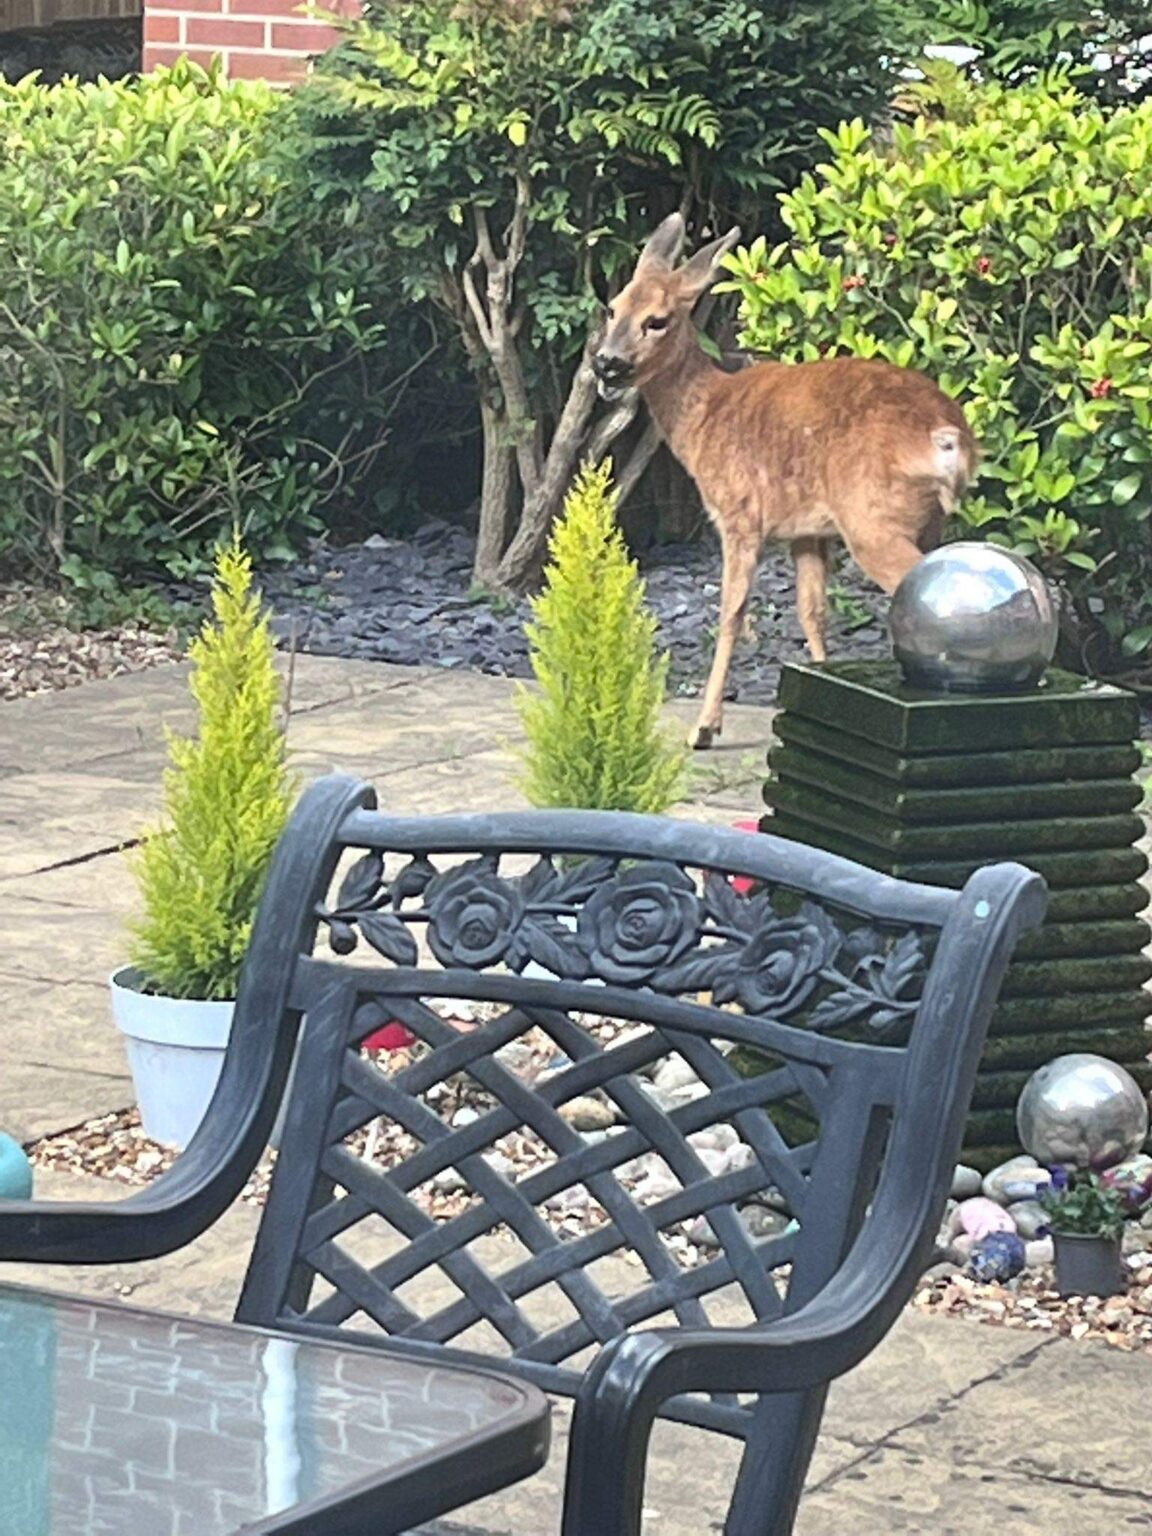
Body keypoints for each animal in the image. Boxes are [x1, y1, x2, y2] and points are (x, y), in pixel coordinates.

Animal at [592, 212, 978, 749]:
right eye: (613, 308)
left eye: (658, 320)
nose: (607, 363)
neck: (702, 417)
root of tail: (948, 438)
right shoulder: (808, 531)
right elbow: (812, 613)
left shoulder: (739, 514)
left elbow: (731, 613)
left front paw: (704, 728)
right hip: (926, 522)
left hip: (873, 519)